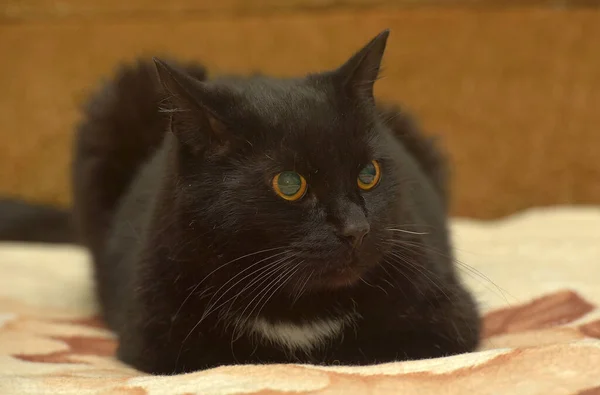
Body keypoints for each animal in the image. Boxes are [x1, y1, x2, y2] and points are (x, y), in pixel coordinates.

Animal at [70, 30, 480, 374]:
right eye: (289, 184)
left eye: (369, 173)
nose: (357, 230)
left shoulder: (447, 319)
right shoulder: (157, 337)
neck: (298, 309)